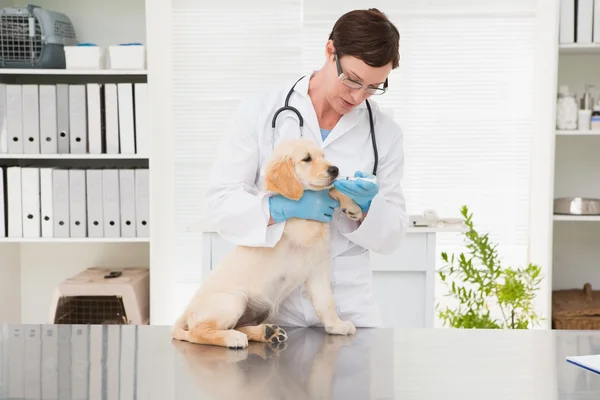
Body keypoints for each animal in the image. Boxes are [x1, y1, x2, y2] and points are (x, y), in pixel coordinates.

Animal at [171, 139, 364, 348]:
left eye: (323, 156)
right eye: (306, 159)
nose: (335, 169)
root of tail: (186, 311)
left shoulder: (317, 268)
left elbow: (326, 301)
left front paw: (336, 325)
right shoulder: (300, 230)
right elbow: (319, 196)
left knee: (239, 326)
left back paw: (268, 332)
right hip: (234, 299)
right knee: (197, 332)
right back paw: (233, 338)